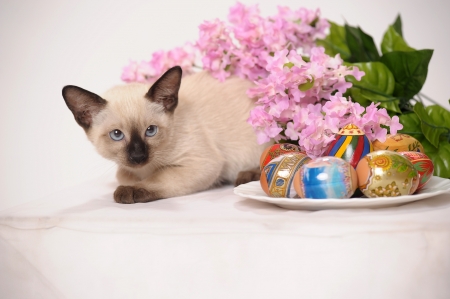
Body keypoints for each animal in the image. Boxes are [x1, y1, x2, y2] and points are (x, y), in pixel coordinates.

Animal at [62, 66, 268, 204]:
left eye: (150, 131)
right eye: (117, 135)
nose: (138, 156)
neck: (143, 169)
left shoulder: (202, 163)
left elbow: (158, 177)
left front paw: (130, 191)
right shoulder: (125, 168)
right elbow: (124, 175)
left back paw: (248, 175)